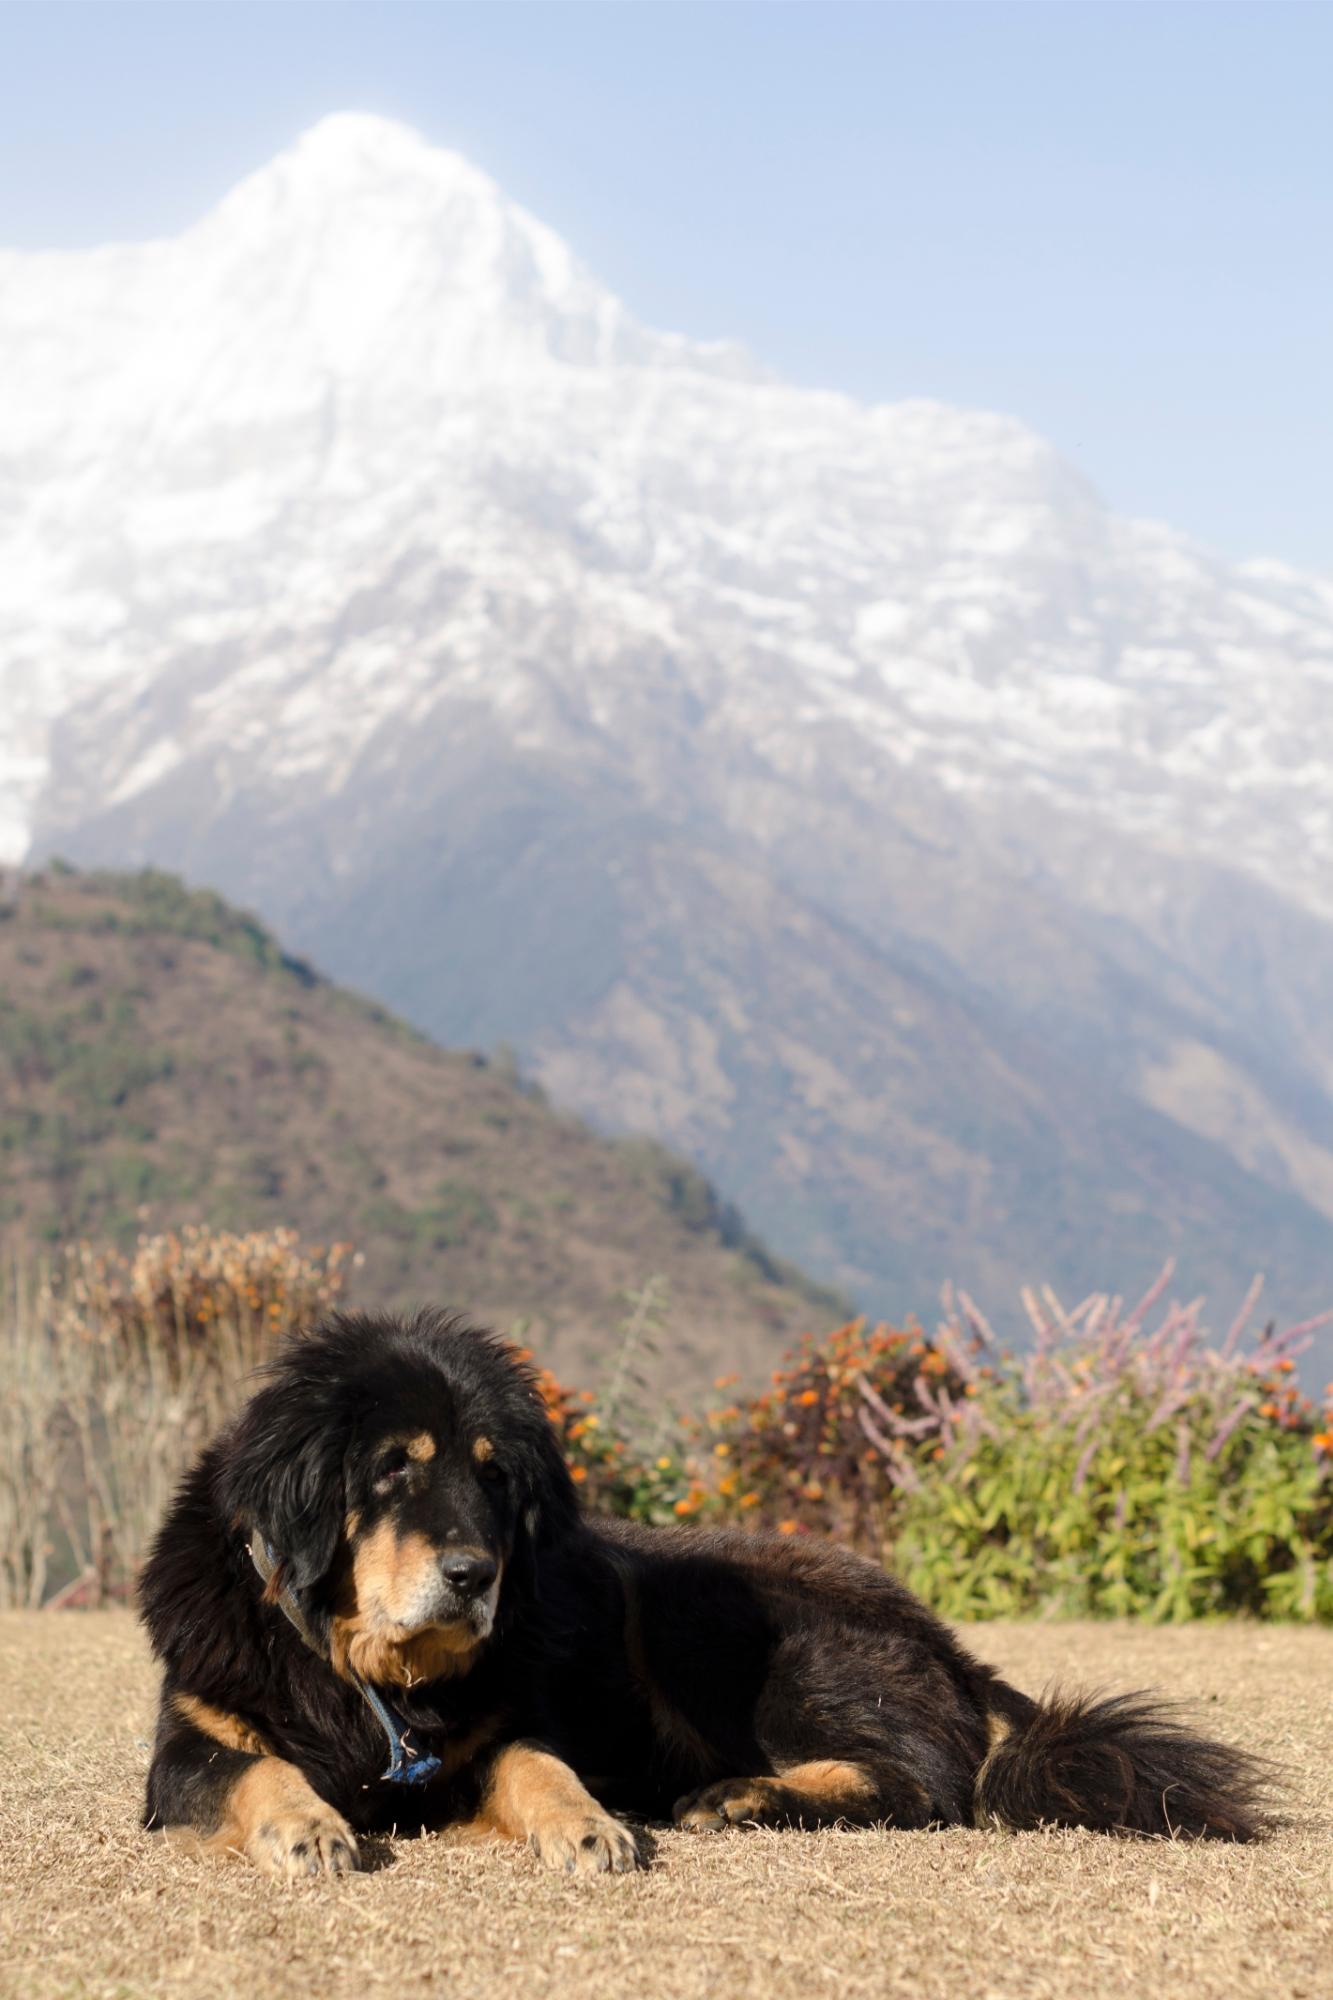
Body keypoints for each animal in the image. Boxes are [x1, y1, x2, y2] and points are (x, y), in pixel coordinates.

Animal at [137, 1312, 1264, 1872]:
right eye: (393, 1469)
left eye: (495, 1477)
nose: (474, 1576)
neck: (366, 1672)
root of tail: (943, 1638)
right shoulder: (189, 1748)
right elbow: (256, 1770)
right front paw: (309, 1825)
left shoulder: (500, 1732)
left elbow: (541, 1762)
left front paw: (588, 1822)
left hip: (704, 1620)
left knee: (929, 1785)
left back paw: (744, 1795)